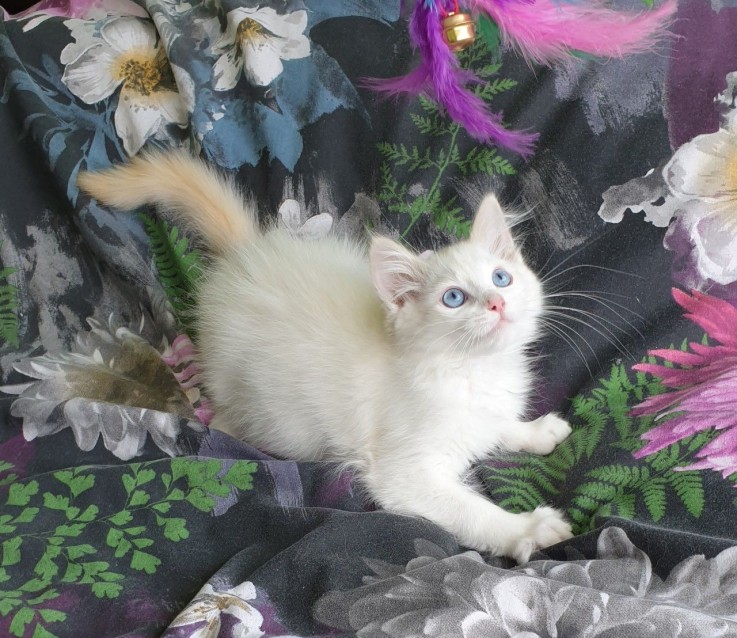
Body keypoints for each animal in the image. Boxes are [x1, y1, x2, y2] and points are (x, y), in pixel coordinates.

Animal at [82, 152, 576, 564]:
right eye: (454, 298)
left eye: (501, 277)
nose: (496, 303)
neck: (471, 370)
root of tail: (247, 254)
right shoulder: (404, 474)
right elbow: (471, 511)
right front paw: (526, 529)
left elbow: (497, 425)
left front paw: (533, 431)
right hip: (257, 405)